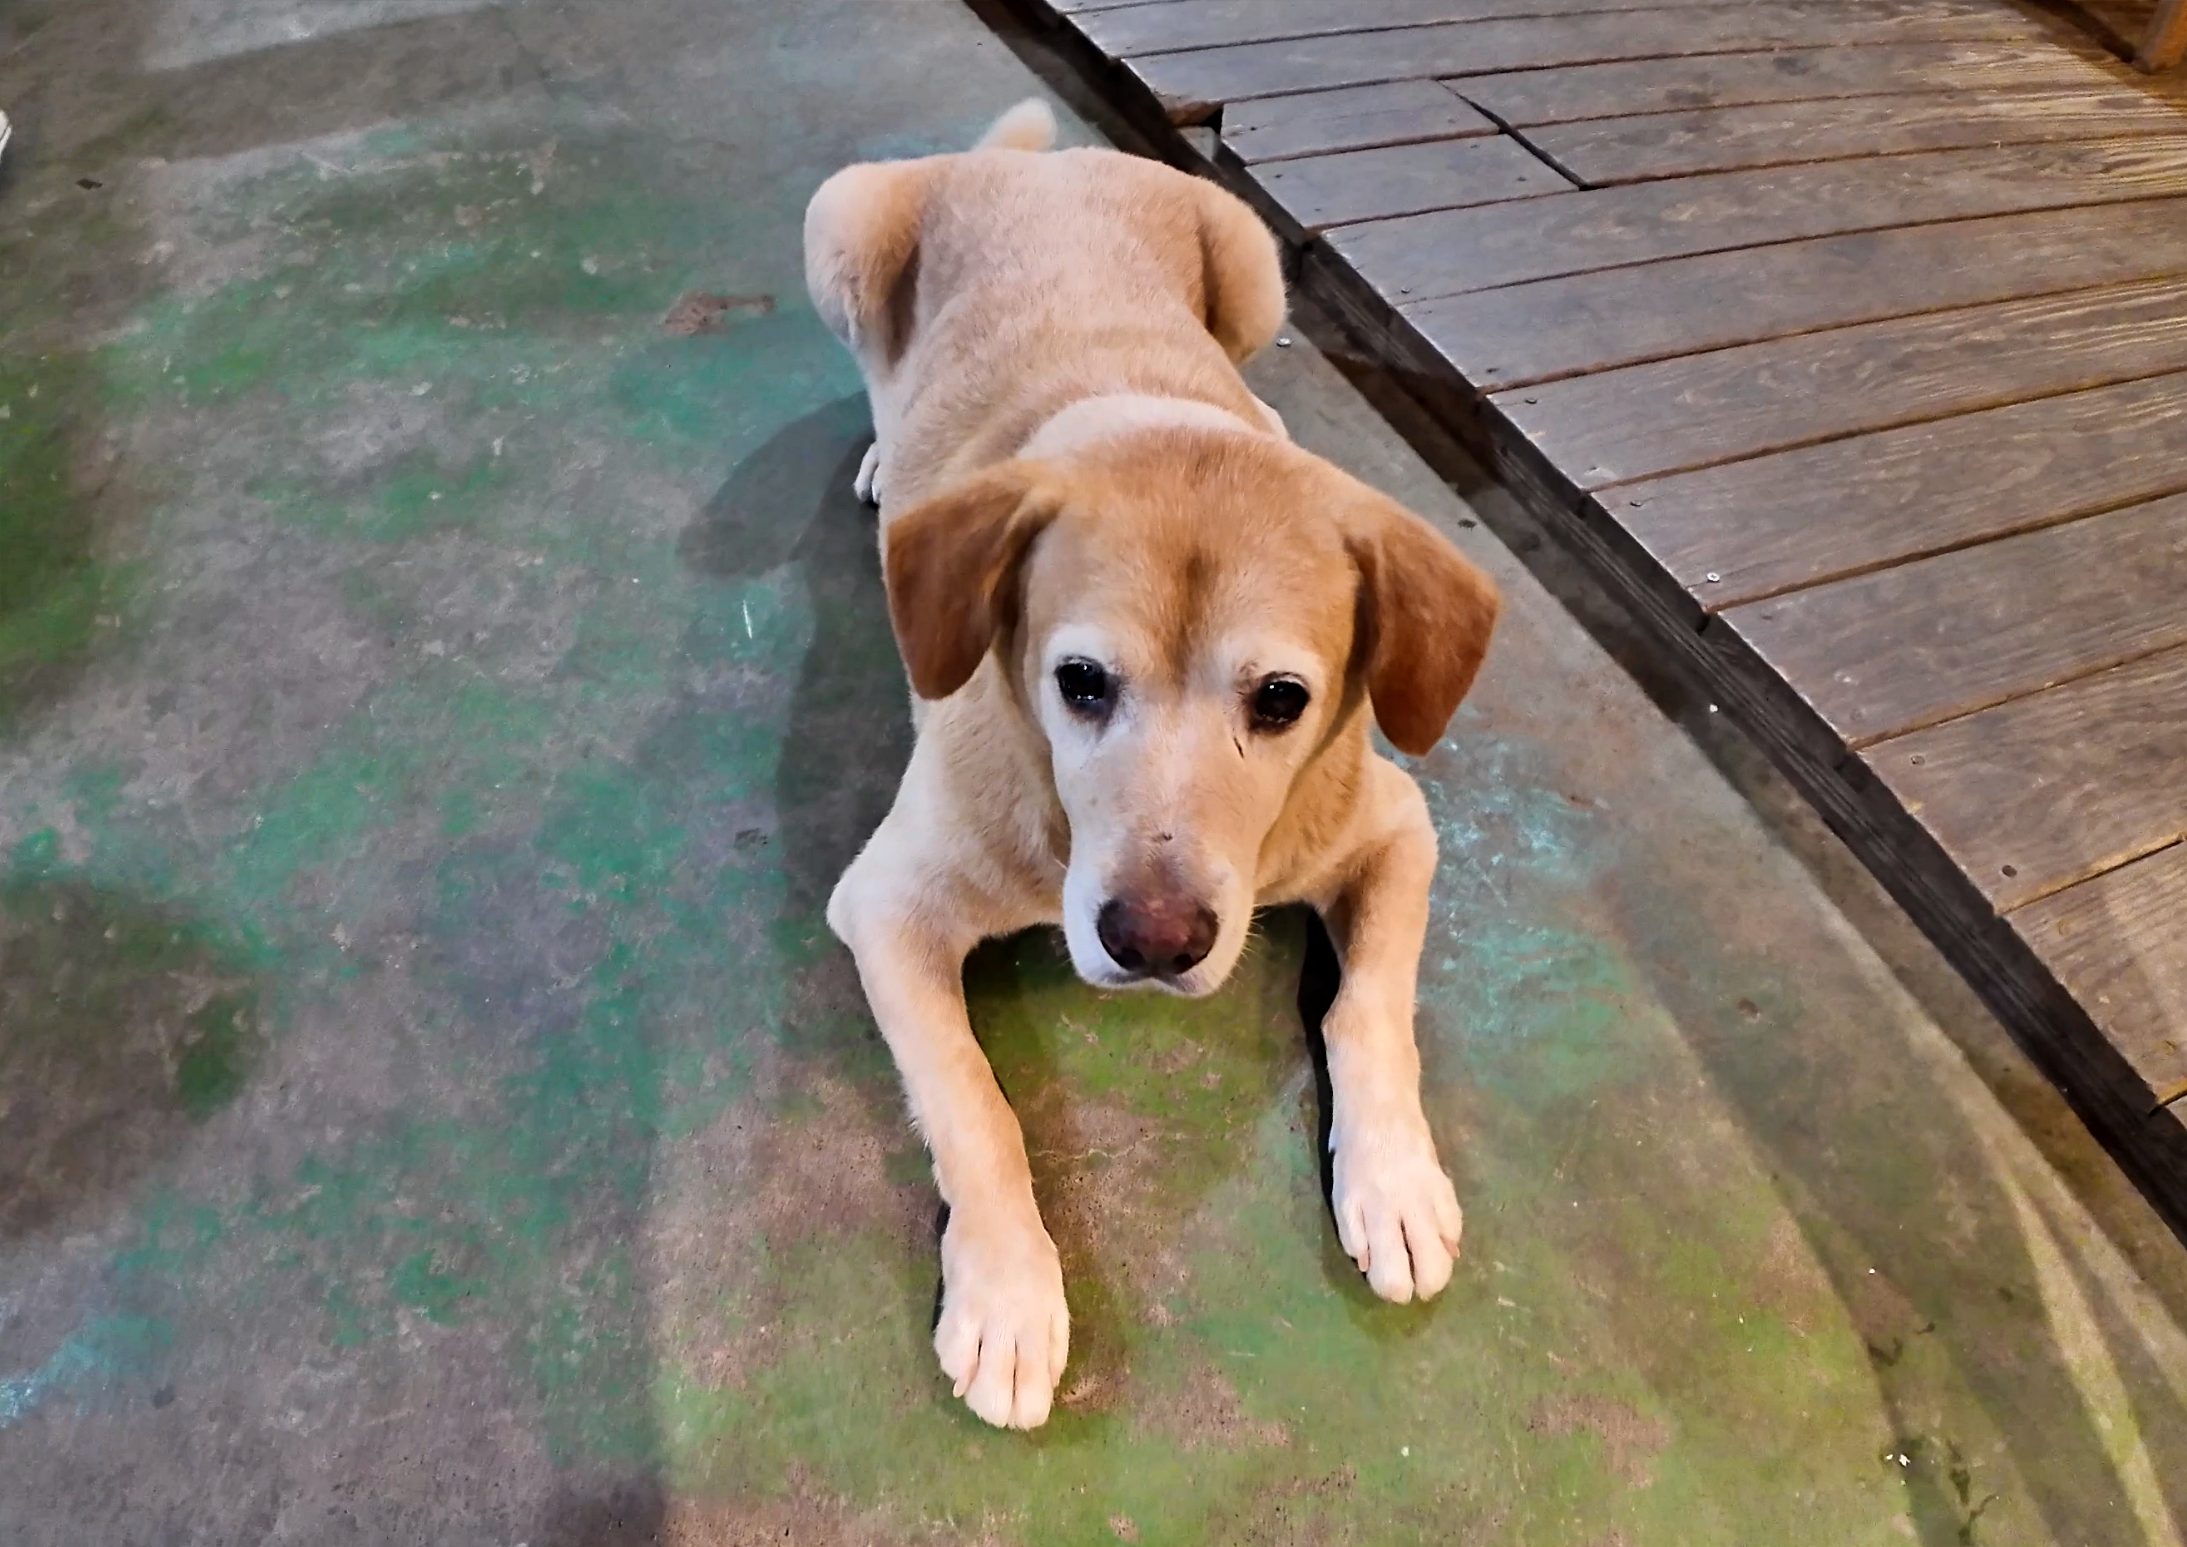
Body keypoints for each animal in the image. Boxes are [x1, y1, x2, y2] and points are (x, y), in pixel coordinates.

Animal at [804, 100, 1504, 1426]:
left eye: (1283, 699)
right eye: (1079, 682)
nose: (1155, 941)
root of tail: (1045, 165)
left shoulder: (1397, 821)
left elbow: (1371, 1006)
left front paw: (1391, 1179)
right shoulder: (886, 905)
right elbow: (975, 1104)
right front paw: (1010, 1294)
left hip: (1255, 266)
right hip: (841, 221)